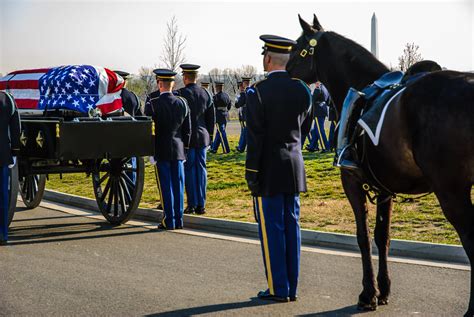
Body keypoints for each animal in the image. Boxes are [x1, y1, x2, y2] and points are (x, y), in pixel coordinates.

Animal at [286, 14, 474, 314]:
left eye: (297, 47)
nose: (283, 72)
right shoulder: (385, 188)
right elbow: (382, 237)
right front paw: (383, 290)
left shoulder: (351, 182)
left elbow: (362, 237)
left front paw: (368, 294)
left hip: (451, 191)